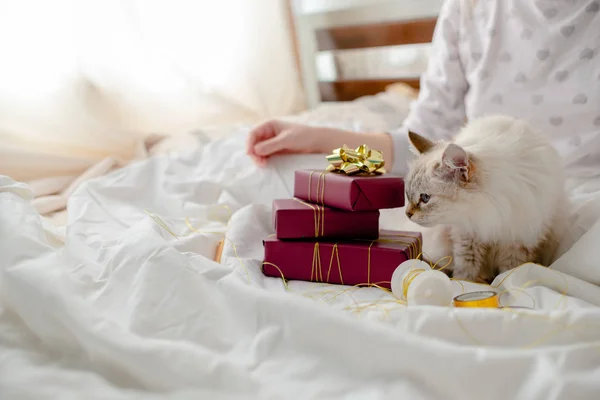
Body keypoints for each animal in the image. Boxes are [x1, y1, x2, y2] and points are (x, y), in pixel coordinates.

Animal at [404, 115, 568, 282]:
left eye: (425, 198)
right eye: (408, 195)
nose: (407, 214)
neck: (491, 212)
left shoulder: (518, 241)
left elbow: (509, 272)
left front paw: (501, 284)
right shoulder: (468, 234)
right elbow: (466, 268)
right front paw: (464, 282)